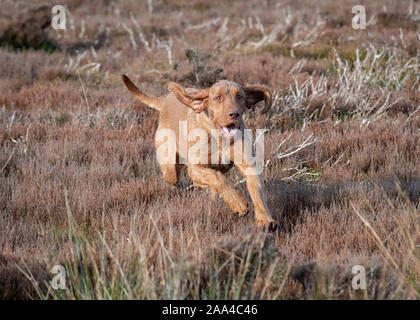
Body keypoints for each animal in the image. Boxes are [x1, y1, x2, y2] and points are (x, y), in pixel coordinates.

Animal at [121, 74, 278, 231]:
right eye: (218, 98)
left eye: (239, 96)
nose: (235, 114)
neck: (219, 138)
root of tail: (166, 101)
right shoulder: (195, 168)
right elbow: (218, 178)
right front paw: (237, 202)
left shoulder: (249, 165)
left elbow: (257, 193)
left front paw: (265, 219)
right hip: (170, 169)